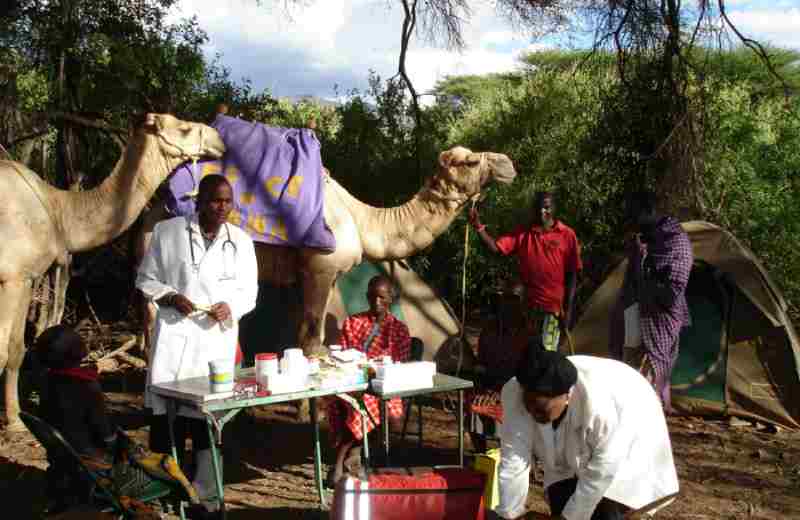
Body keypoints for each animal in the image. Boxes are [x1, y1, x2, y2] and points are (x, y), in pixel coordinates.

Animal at [0, 115, 225, 434]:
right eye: (183, 128)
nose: (219, 140)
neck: (57, 210)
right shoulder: (10, 277)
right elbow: (1, 349)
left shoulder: (26, 277)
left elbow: (15, 347)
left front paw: (15, 421)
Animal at [134, 145, 516, 358]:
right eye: (469, 162)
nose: (508, 164)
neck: (361, 220)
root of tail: (151, 211)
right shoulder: (320, 267)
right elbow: (311, 338)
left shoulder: (326, 276)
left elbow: (309, 333)